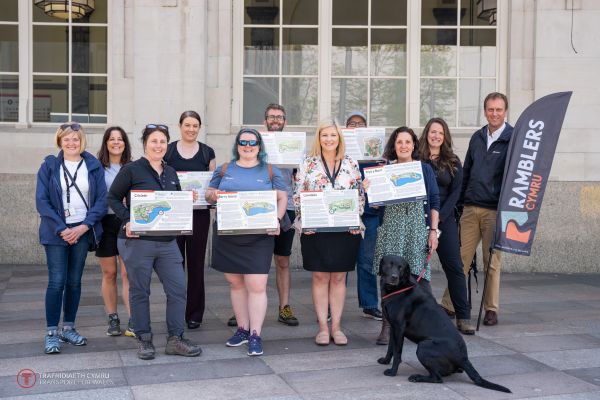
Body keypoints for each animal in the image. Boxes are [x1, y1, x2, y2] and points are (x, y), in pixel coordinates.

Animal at [378, 255, 508, 392]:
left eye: (401, 268)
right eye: (389, 264)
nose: (394, 277)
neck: (400, 288)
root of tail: (464, 358)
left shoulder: (399, 328)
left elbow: (397, 353)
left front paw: (392, 372)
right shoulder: (393, 328)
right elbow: (390, 348)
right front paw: (385, 360)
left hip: (423, 346)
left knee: (437, 379)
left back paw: (417, 377)